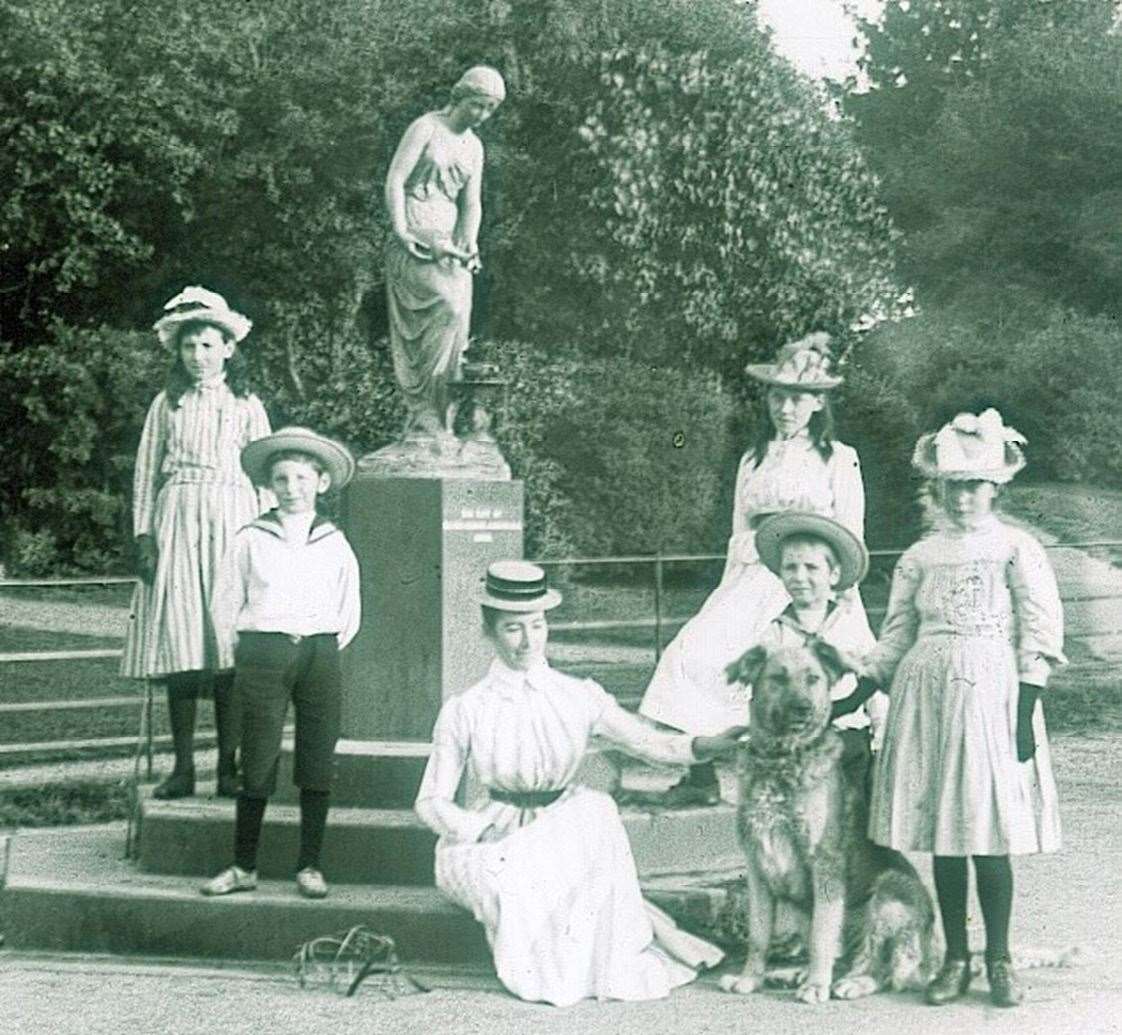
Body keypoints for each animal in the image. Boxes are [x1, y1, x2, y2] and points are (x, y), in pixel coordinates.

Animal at [718, 642, 937, 996]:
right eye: (778, 678)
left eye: (813, 679)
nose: (803, 708)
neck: (781, 759)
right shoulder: (757, 870)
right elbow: (759, 935)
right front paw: (750, 978)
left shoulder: (825, 867)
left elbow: (822, 937)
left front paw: (817, 986)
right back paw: (796, 974)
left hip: (888, 896)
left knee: (880, 967)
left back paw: (851, 982)